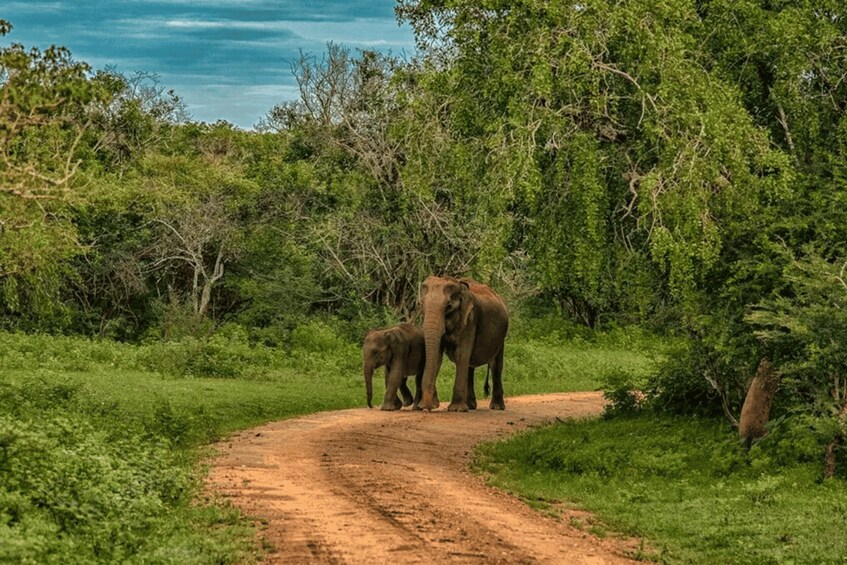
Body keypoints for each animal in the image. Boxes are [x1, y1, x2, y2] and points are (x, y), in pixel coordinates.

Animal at [419, 275, 508, 412]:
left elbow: (461, 354)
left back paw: (497, 407)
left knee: (495, 365)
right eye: (422, 304)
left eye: (448, 307)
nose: (428, 408)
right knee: (469, 366)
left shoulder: (470, 321)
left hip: (501, 335)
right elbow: (438, 356)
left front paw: (456, 409)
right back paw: (470, 406)